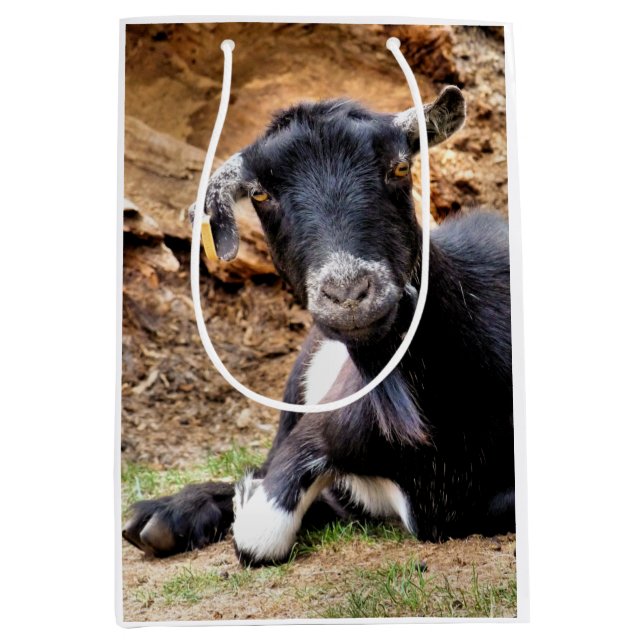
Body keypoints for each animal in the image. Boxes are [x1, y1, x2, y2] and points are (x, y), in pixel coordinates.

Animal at [122, 86, 515, 566]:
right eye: (260, 194)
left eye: (400, 167)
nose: (348, 293)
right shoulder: (318, 430)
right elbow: (260, 530)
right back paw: (163, 517)